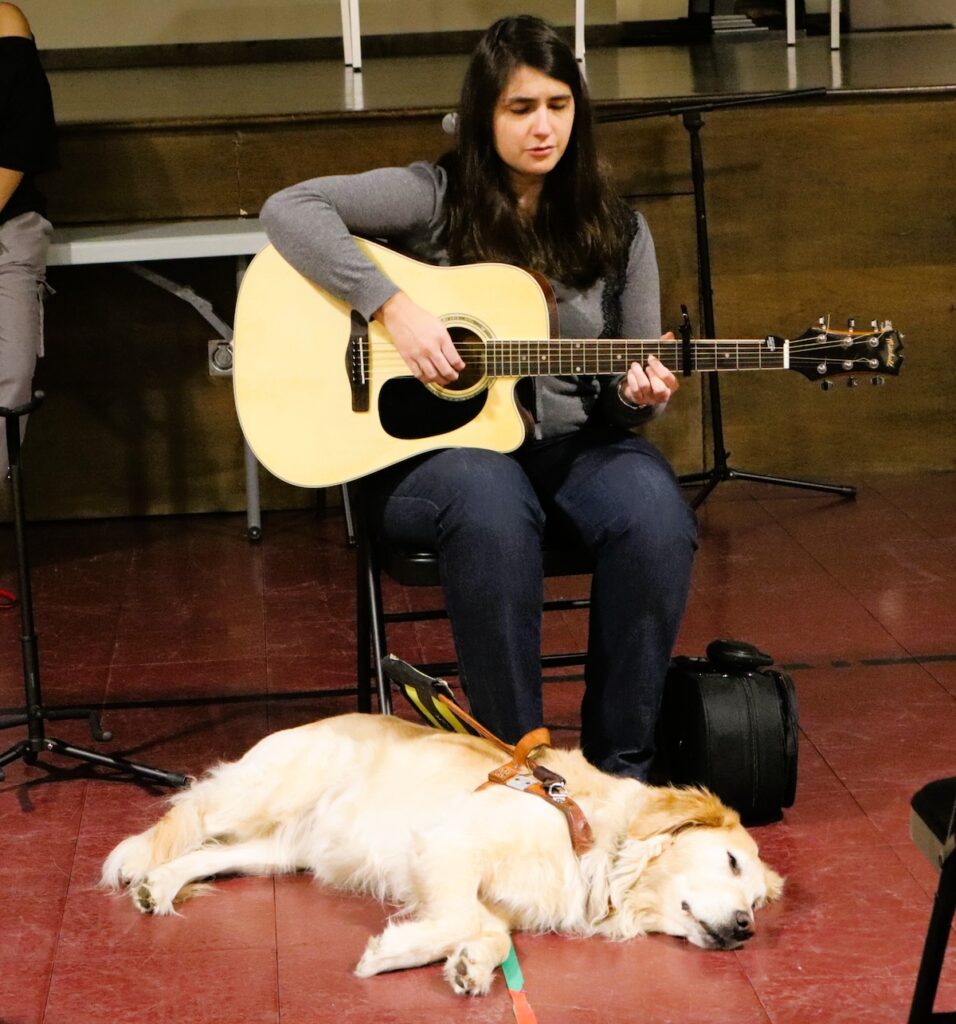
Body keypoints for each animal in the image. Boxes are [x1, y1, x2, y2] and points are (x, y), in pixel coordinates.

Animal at [102, 712, 786, 991]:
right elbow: (466, 921)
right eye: (729, 862)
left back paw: (159, 888)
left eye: (757, 902)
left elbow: (492, 933)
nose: (745, 929)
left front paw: (469, 965)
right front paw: (395, 955)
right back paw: (136, 860)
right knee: (189, 809)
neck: (591, 836)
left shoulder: (495, 897)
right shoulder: (447, 846)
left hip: (277, 850)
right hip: (267, 791)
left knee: (203, 853)